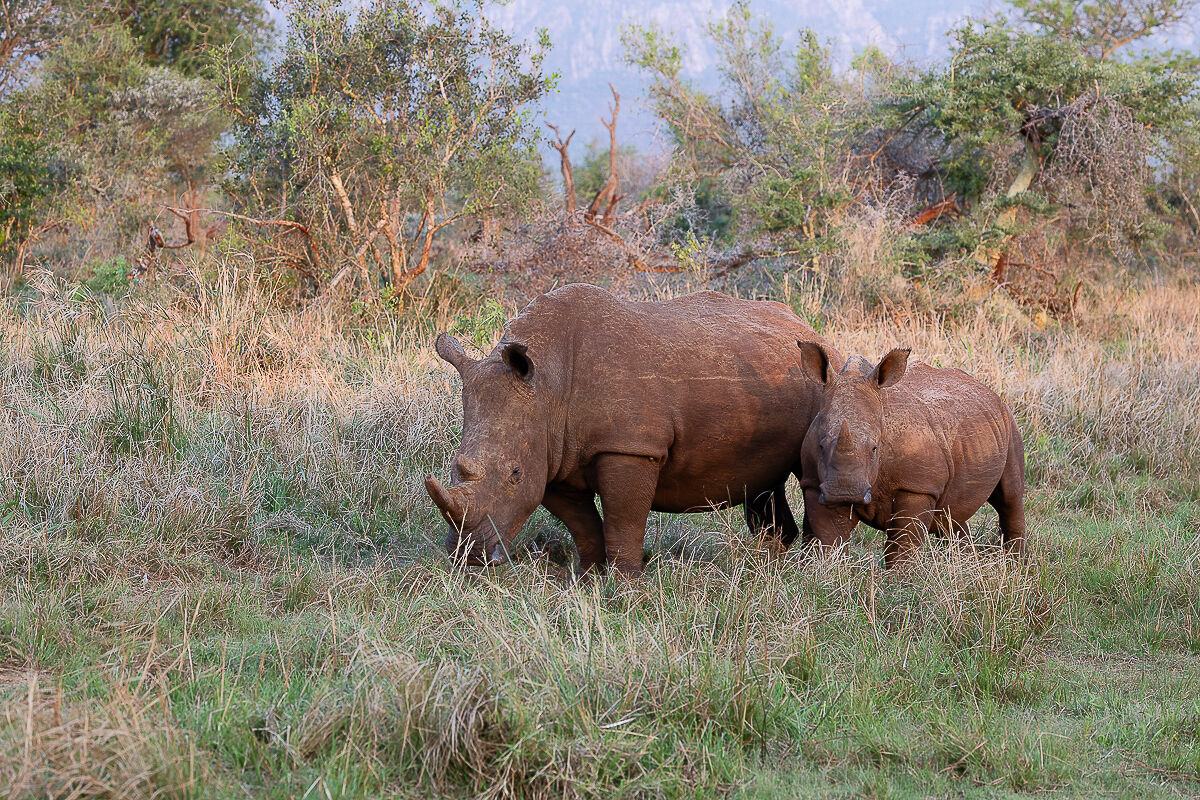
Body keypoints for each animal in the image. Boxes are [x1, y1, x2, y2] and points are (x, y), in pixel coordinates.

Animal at [425, 283, 841, 576]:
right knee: (763, 483)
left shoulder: (629, 445)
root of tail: (809, 328)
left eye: (514, 474)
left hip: (824, 384)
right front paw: (588, 581)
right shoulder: (552, 455)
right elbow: (583, 526)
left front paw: (626, 589)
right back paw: (767, 568)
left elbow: (623, 523)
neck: (547, 384)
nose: (470, 556)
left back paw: (807, 571)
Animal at [795, 343, 1026, 566]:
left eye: (874, 449)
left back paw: (1015, 565)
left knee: (1010, 497)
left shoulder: (918, 487)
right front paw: (828, 570)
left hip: (1009, 423)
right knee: (952, 515)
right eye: (821, 446)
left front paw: (900, 578)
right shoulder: (815, 484)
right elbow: (830, 539)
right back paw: (966, 565)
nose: (844, 491)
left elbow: (904, 544)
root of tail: (990, 392)